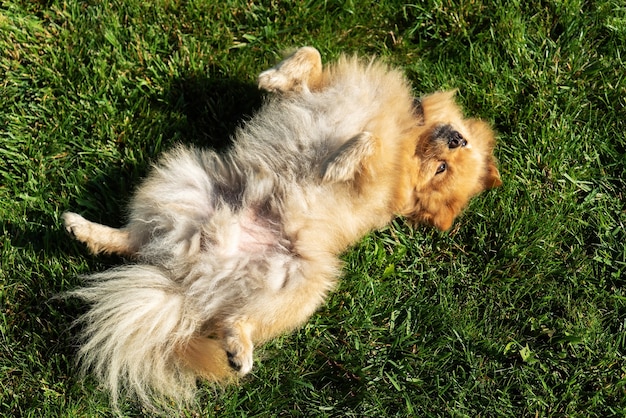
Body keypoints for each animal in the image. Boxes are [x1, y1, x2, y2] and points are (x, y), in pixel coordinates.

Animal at [62, 47, 502, 410]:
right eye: (450, 158)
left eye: (441, 169)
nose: (457, 138)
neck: (408, 133)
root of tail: (190, 282)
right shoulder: (320, 89)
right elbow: (311, 56)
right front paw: (274, 76)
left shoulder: (372, 185)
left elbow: (369, 142)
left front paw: (340, 160)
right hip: (183, 180)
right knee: (136, 240)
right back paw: (86, 230)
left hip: (303, 284)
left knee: (236, 319)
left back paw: (239, 349)